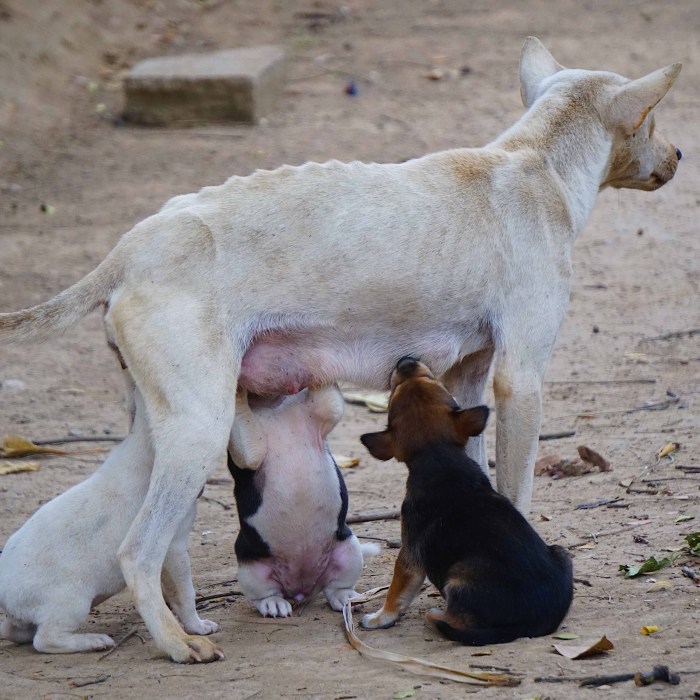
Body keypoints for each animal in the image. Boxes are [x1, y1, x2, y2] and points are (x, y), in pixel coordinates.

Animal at [0, 374, 219, 656]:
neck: (144, 447)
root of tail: (5, 594)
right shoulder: (175, 547)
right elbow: (186, 592)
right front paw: (198, 627)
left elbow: (171, 592)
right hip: (73, 602)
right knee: (46, 639)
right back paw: (94, 641)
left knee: (12, 631)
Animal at [227, 385, 377, 617]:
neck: (272, 406)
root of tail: (301, 587)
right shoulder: (249, 452)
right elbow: (242, 416)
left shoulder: (323, 410)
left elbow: (328, 397)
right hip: (250, 566)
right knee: (264, 595)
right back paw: (273, 604)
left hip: (348, 548)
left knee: (335, 587)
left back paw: (345, 598)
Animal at [359, 357, 573, 644]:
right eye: (431, 381)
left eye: (394, 392)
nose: (406, 361)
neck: (438, 454)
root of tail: (533, 625)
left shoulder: (409, 556)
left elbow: (396, 593)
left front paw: (378, 618)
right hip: (562, 553)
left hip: (458, 578)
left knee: (453, 621)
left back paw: (435, 615)